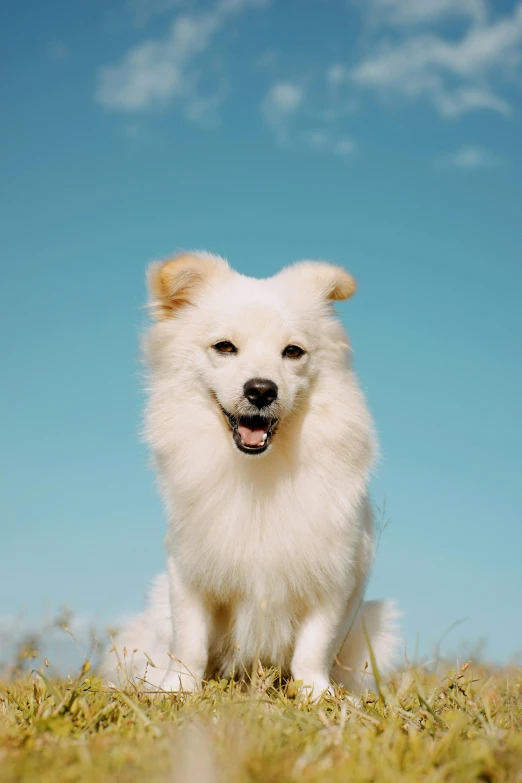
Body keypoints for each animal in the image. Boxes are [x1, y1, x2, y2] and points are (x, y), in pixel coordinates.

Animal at [104, 253, 398, 700]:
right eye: (224, 347)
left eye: (293, 351)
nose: (261, 390)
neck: (259, 471)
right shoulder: (188, 568)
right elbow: (189, 641)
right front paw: (178, 689)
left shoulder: (336, 574)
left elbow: (315, 645)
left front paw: (316, 694)